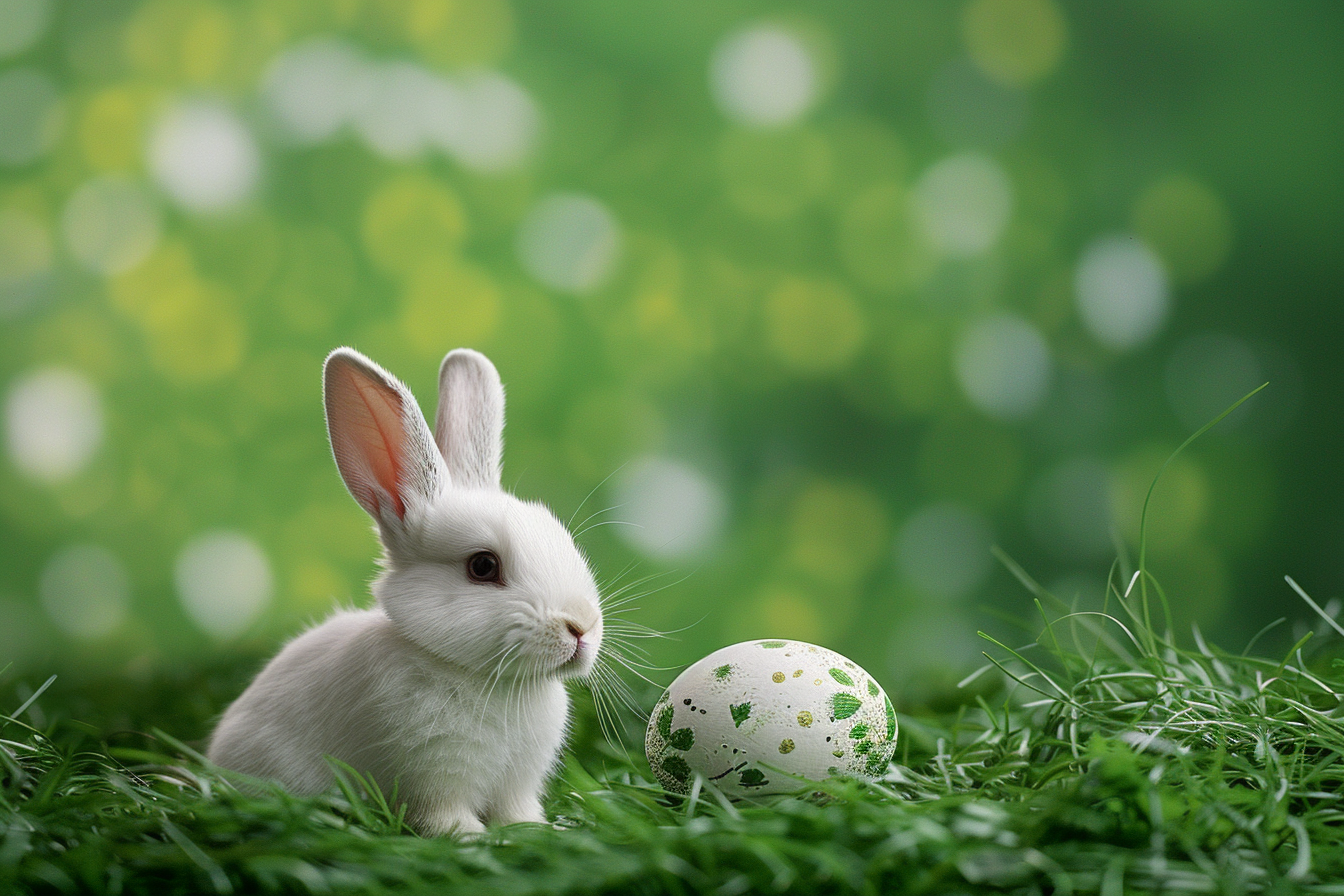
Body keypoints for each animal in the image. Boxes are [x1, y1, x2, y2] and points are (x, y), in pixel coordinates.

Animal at [207, 347, 604, 836]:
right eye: (483, 566)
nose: (581, 627)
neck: (489, 679)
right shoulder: (433, 779)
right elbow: (445, 817)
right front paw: (473, 839)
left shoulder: (517, 785)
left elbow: (517, 814)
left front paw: (535, 831)